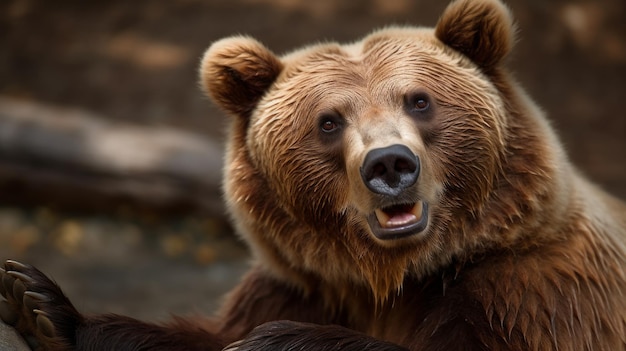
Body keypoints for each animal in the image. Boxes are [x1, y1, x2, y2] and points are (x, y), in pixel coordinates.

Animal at [1, 0, 624, 350]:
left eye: (419, 100)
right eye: (329, 121)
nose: (390, 164)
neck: (395, 277)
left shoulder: (534, 289)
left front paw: (279, 343)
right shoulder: (301, 285)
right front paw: (38, 303)